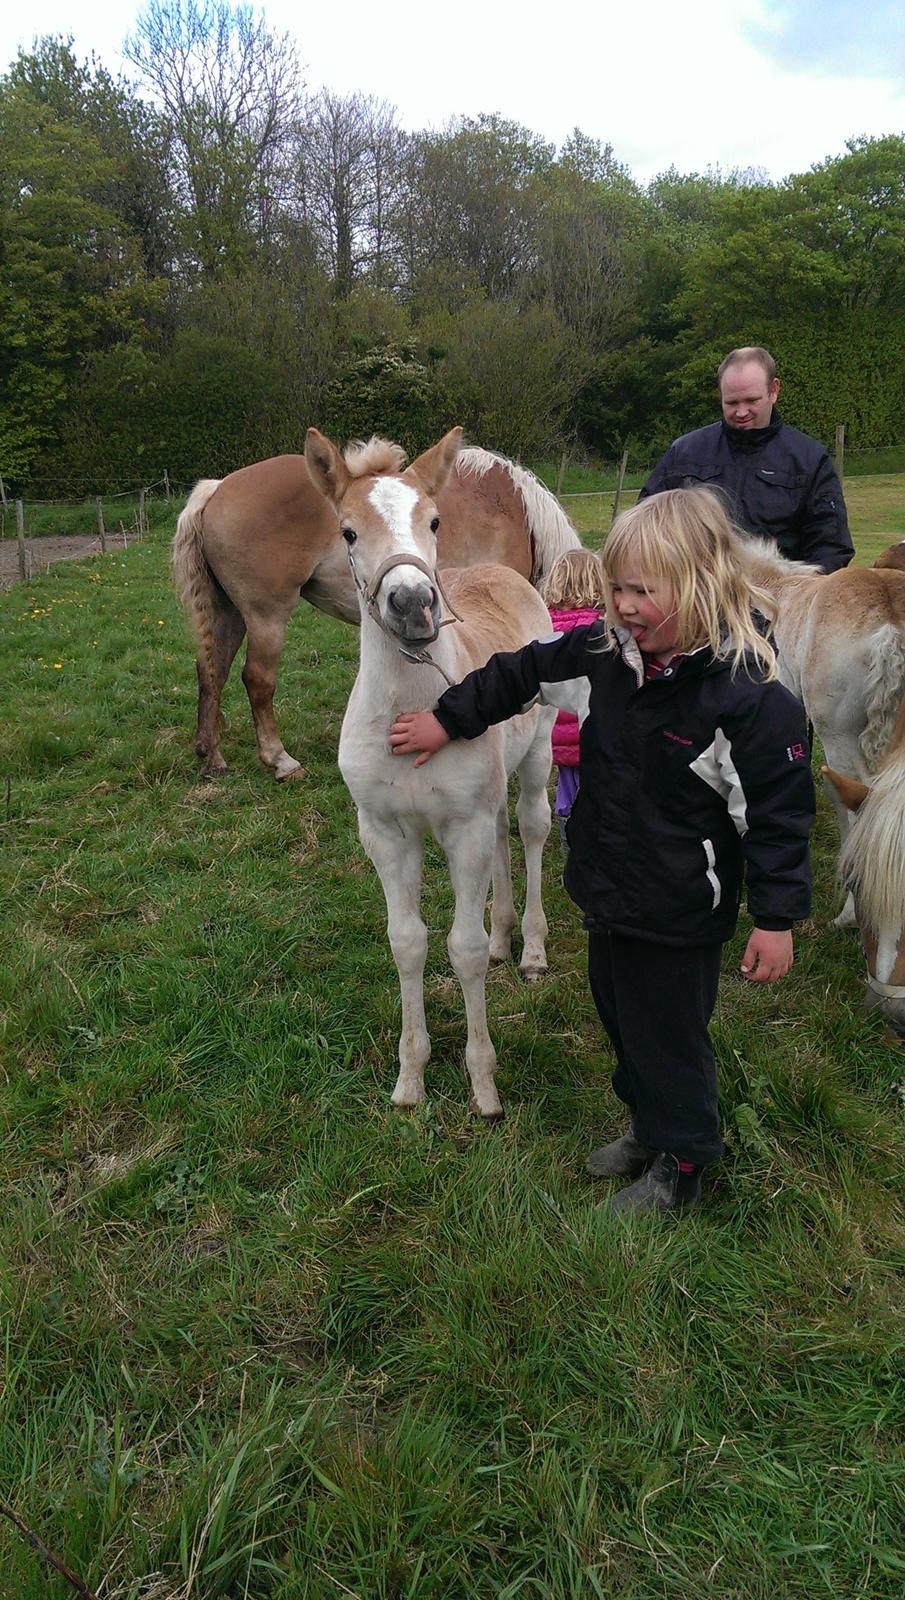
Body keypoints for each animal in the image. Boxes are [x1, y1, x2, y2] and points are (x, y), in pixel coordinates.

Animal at [171, 432, 582, 780]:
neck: (514, 513)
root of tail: (218, 487)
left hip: (230, 614)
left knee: (212, 671)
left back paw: (211, 754)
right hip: (265, 617)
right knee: (256, 679)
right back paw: (280, 760)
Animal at [305, 432, 559, 1120]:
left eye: (435, 521)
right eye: (347, 531)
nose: (414, 604)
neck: (414, 713)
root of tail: (502, 572)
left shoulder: (461, 828)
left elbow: (461, 949)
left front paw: (483, 1086)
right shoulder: (386, 834)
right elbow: (408, 942)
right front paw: (411, 1077)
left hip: (539, 755)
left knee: (529, 830)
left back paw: (529, 950)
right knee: (502, 838)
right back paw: (503, 938)